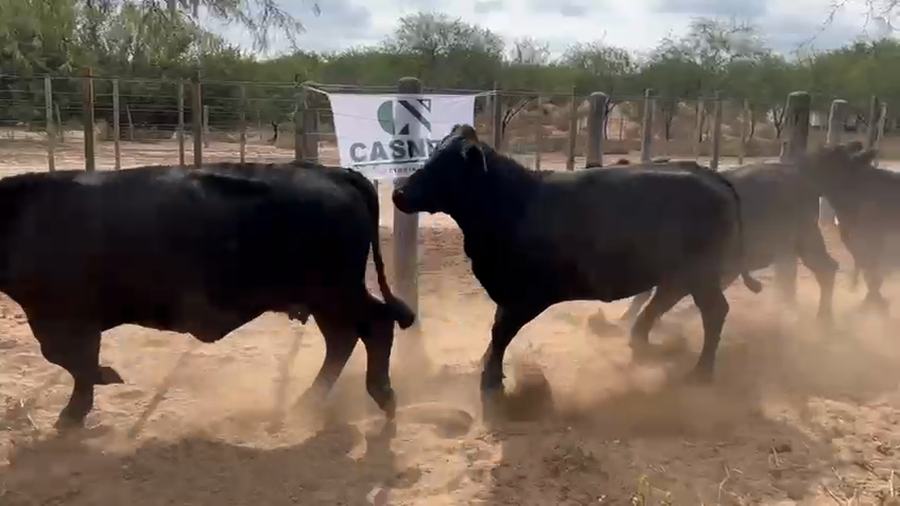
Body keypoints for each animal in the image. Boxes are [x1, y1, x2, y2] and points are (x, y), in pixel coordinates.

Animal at [0, 161, 415, 430]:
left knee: (376, 326)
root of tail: (332, 172)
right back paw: (307, 404)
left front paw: (93, 390)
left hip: (335, 291)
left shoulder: (64, 316)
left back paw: (382, 396)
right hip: (326, 299)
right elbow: (75, 362)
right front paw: (77, 409)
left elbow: (72, 360)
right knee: (344, 340)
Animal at [391, 124, 762, 412]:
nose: (398, 193)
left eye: (445, 168)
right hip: (682, 274)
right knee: (664, 301)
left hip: (701, 274)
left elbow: (500, 333)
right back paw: (642, 344)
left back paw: (700, 373)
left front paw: (491, 384)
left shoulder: (524, 297)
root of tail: (712, 176)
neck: (514, 202)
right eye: (431, 156)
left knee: (714, 312)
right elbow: (498, 334)